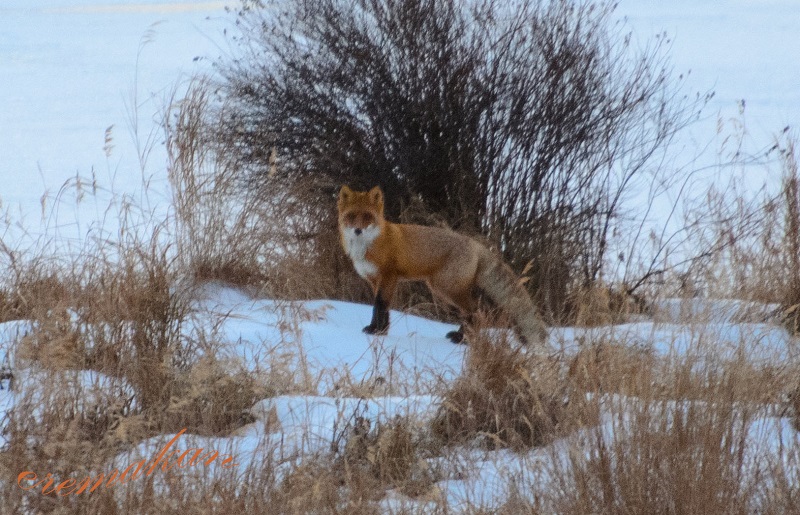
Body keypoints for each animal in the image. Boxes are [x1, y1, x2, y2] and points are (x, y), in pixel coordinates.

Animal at [337, 185, 548, 347]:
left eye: (367, 216)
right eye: (351, 216)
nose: (357, 230)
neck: (370, 245)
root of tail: (474, 244)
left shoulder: (388, 276)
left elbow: (379, 306)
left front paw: (375, 331)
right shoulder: (376, 281)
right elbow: (382, 308)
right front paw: (380, 331)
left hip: (445, 288)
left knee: (477, 311)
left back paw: (463, 339)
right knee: (474, 312)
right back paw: (461, 336)